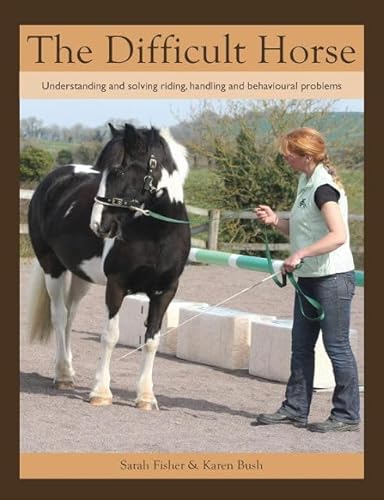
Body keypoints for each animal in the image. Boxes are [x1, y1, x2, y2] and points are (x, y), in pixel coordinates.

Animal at [27, 122, 190, 410]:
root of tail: (52, 180)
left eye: (119, 170)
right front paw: (101, 392)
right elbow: (110, 336)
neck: (156, 235)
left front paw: (146, 397)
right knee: (59, 316)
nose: (98, 225)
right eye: (102, 171)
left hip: (81, 276)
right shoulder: (116, 285)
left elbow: (152, 340)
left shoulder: (165, 292)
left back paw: (69, 370)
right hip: (52, 267)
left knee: (70, 316)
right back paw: (62, 375)